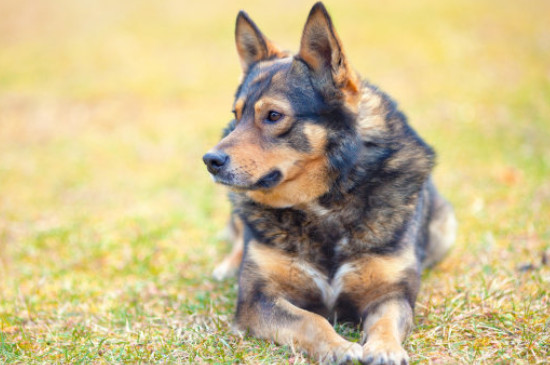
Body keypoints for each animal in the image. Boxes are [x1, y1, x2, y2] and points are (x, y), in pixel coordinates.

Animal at [203, 2, 458, 362]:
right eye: (236, 116)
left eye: (273, 116)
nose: (210, 160)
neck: (323, 206)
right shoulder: (257, 298)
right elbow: (311, 321)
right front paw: (339, 347)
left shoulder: (391, 293)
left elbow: (386, 322)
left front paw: (385, 349)